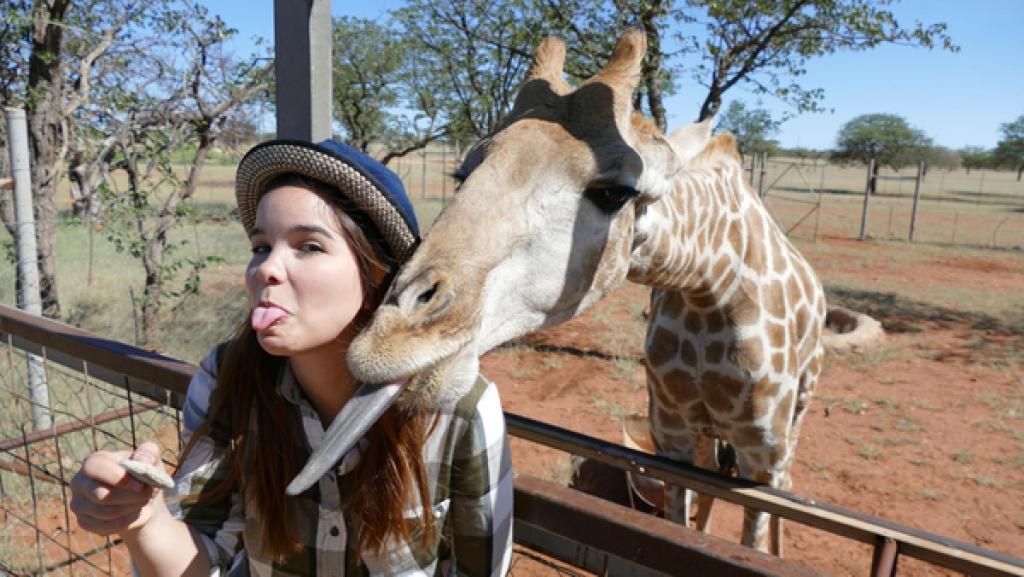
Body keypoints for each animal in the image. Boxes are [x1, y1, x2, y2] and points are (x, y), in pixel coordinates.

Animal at [299, 29, 826, 553]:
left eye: (615, 192)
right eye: (463, 173)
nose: (384, 344)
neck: (711, 285)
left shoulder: (761, 453)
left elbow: (753, 533)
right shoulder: (671, 434)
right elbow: (680, 517)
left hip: (793, 421)